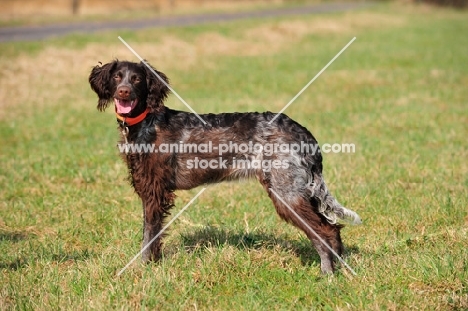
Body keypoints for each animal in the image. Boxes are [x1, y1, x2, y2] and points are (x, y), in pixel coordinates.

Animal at [88, 59, 362, 274]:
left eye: (137, 79)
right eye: (117, 77)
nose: (124, 92)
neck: (147, 122)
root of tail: (302, 132)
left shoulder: (155, 191)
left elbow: (149, 235)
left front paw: (144, 267)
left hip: (287, 193)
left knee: (326, 231)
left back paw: (328, 274)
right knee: (331, 230)